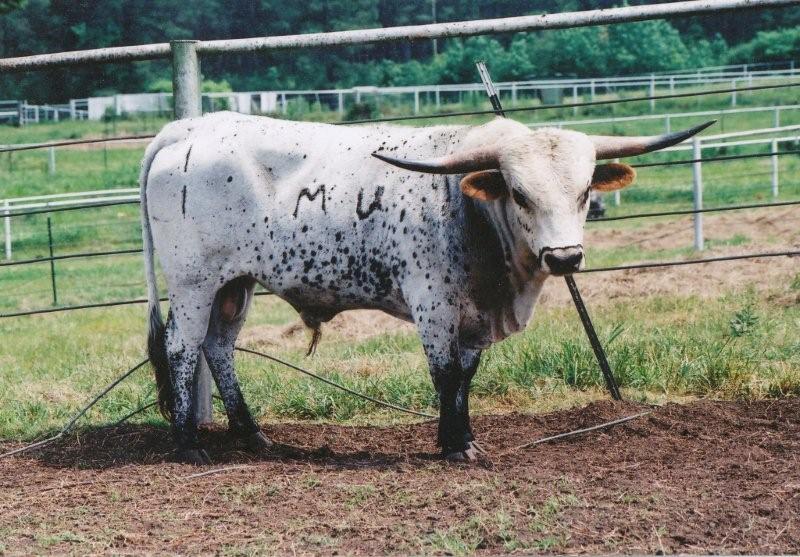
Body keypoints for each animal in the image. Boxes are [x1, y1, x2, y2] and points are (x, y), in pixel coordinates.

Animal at [140, 112, 712, 464]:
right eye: (519, 193)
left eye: (586, 189)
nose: (565, 257)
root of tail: (189, 127)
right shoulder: (432, 302)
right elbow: (445, 372)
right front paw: (455, 445)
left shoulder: (475, 316)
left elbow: (466, 376)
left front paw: (463, 437)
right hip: (193, 280)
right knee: (182, 347)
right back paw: (188, 446)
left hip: (235, 282)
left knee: (219, 346)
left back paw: (252, 434)